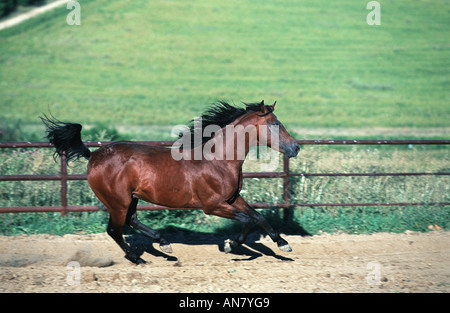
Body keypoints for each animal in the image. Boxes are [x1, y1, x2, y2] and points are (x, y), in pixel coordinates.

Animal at [40, 100, 300, 264]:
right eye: (275, 123)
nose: (296, 148)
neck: (218, 159)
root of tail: (93, 155)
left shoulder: (232, 198)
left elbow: (258, 217)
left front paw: (283, 244)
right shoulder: (212, 206)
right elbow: (247, 220)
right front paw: (229, 245)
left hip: (131, 198)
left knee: (131, 221)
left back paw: (163, 244)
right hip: (118, 201)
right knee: (115, 229)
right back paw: (137, 258)